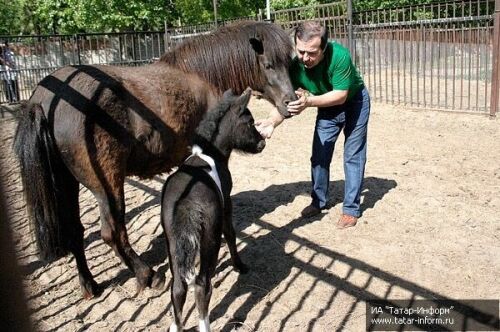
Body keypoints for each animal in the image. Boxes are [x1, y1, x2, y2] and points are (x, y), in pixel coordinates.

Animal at [12, 22, 296, 300]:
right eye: (268, 64)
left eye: (289, 62)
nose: (291, 103)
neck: (203, 76)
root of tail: (45, 99)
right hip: (107, 184)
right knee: (112, 233)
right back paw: (147, 275)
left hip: (67, 182)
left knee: (76, 232)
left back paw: (90, 285)